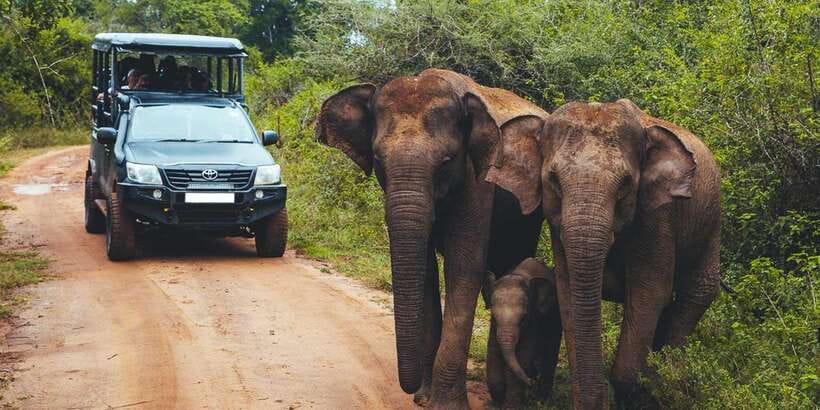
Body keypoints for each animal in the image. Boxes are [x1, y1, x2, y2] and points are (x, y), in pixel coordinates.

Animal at [315, 69, 548, 408]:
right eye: (378, 160)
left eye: (447, 161)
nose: (410, 391)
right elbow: (424, 272)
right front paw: (425, 399)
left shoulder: (477, 181)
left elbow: (464, 268)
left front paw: (444, 404)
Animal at [485, 258, 561, 408]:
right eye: (494, 317)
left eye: (523, 319)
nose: (531, 382)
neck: (519, 274)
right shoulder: (493, 326)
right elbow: (493, 352)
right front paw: (498, 400)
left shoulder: (533, 319)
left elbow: (523, 355)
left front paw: (511, 405)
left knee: (550, 351)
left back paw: (541, 400)